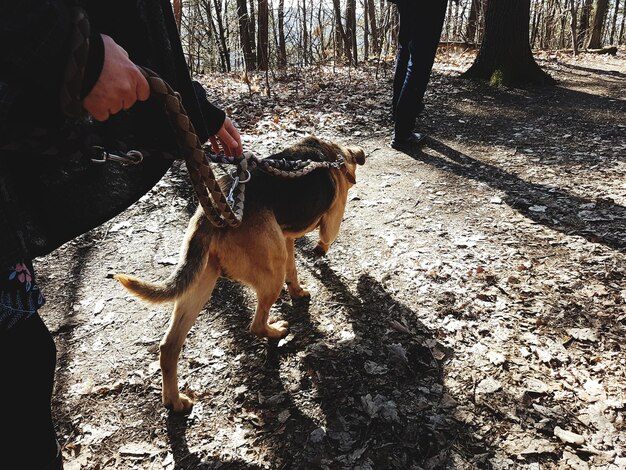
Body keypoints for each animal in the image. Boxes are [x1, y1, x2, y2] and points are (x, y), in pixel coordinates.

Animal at [114, 136, 364, 412]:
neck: (333, 154)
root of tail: (210, 219)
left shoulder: (285, 240)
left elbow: (294, 272)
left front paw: (297, 292)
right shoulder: (332, 221)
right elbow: (326, 240)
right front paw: (320, 256)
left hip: (200, 283)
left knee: (169, 347)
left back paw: (175, 402)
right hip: (270, 274)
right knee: (256, 325)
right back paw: (277, 331)